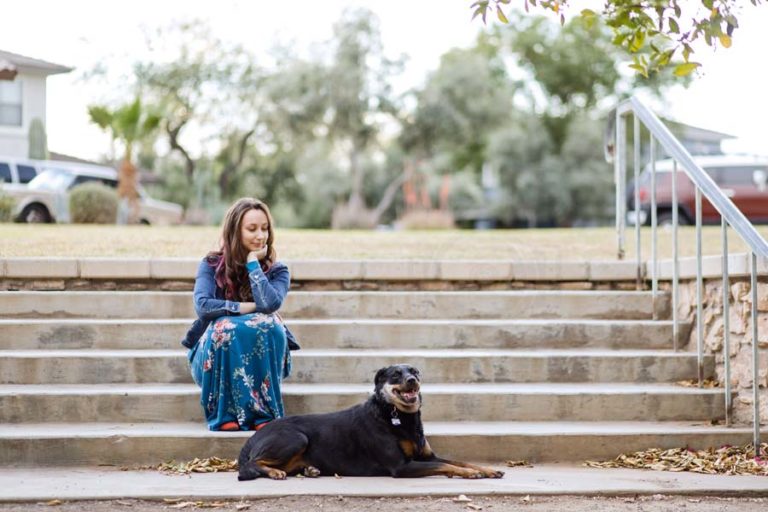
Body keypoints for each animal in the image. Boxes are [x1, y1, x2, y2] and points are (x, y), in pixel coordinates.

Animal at [238, 364, 504, 480]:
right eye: (396, 374)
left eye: (414, 372)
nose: (412, 381)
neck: (397, 416)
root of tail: (253, 437)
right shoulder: (401, 466)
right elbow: (446, 466)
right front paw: (471, 474)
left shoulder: (427, 456)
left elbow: (457, 461)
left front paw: (488, 469)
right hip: (295, 438)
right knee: (252, 463)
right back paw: (274, 472)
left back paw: (309, 469)